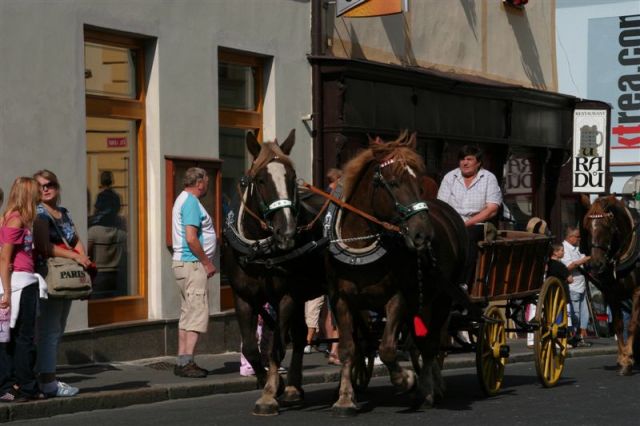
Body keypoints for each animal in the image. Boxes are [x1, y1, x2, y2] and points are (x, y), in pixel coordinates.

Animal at [224, 131, 324, 416]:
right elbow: (252, 348)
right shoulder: (244, 298)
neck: (260, 250)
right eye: (260, 180)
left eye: (292, 177)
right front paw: (272, 385)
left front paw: (269, 395)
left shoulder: (287, 296)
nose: (287, 232)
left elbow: (276, 347)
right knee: (300, 335)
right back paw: (293, 390)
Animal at [328, 131, 468, 414]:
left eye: (421, 184)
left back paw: (429, 390)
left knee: (432, 344)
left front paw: (407, 380)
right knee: (421, 343)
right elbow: (349, 348)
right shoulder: (342, 299)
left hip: (443, 297)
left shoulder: (398, 297)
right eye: (393, 182)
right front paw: (345, 398)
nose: (423, 234)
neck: (359, 249)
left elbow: (388, 349)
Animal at [584, 195, 640, 374]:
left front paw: (628, 358)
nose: (595, 265)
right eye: (588, 227)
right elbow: (618, 325)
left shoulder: (638, 291)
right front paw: (623, 359)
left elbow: (632, 325)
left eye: (607, 226)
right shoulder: (611, 293)